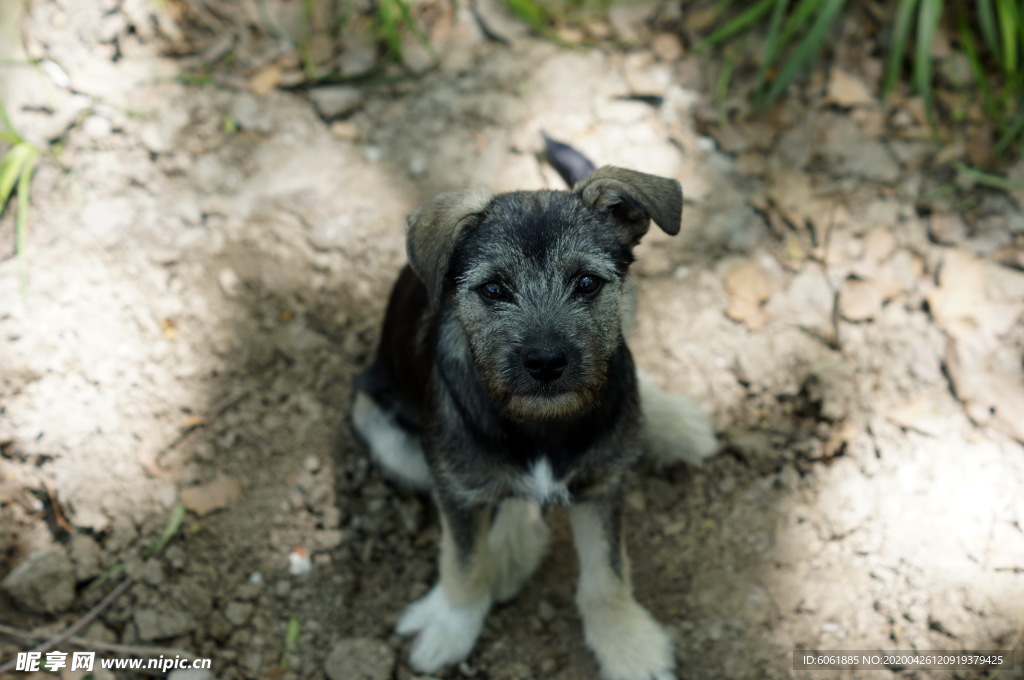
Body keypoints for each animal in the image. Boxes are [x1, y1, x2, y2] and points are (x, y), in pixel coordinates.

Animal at [352, 150, 720, 680]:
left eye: (586, 282)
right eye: (493, 289)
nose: (545, 362)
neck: (543, 423)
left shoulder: (604, 485)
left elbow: (609, 574)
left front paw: (628, 645)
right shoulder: (457, 491)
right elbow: (463, 563)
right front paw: (452, 624)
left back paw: (674, 423)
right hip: (382, 431)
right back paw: (511, 553)